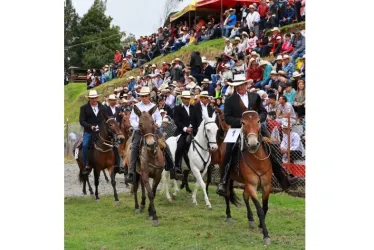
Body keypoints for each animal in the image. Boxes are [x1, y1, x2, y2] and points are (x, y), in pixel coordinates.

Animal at [224, 110, 274, 245]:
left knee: (244, 196)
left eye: (258, 121)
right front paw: (266, 236)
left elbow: (265, 206)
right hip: (226, 176)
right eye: (242, 123)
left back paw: (250, 219)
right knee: (227, 194)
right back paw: (228, 215)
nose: (252, 143)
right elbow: (260, 210)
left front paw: (261, 226)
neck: (258, 162)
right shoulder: (252, 185)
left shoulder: (266, 186)